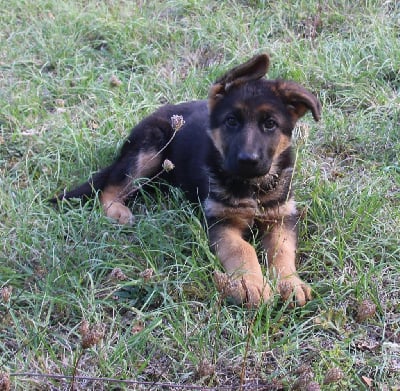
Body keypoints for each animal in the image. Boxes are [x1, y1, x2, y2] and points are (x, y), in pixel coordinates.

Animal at [54, 53, 322, 308]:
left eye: (270, 124)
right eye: (231, 121)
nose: (248, 160)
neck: (252, 188)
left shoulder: (282, 216)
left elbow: (281, 249)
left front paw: (290, 283)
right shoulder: (220, 221)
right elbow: (242, 249)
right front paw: (250, 283)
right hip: (151, 149)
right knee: (111, 187)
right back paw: (118, 211)